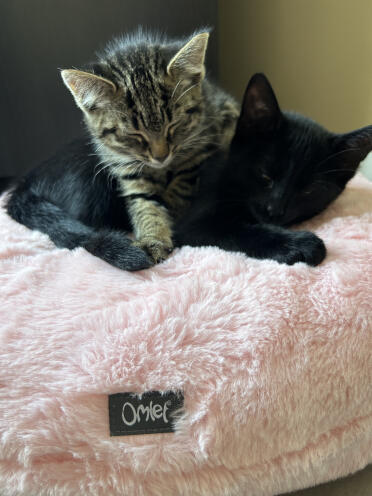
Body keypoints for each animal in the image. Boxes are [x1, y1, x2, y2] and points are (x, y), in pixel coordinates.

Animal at [5, 29, 237, 270]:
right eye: (135, 135)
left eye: (174, 125)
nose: (161, 156)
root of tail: (23, 185)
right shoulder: (127, 169)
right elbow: (144, 204)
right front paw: (152, 239)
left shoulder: (202, 147)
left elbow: (181, 185)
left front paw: (172, 212)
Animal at [174, 73, 372, 266]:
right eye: (265, 175)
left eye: (309, 190)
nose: (274, 210)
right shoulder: (193, 223)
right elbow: (236, 230)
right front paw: (300, 245)